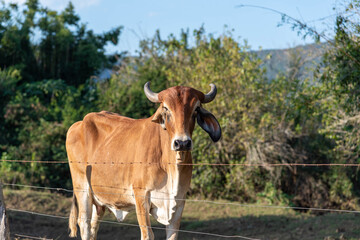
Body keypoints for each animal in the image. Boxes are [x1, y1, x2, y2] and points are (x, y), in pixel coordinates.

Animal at [66, 82, 221, 240]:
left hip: (100, 199)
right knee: (84, 224)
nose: (182, 143)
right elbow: (147, 234)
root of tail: (79, 123)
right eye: (166, 108)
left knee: (93, 226)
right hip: (82, 187)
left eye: (196, 109)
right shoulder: (141, 195)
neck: (170, 165)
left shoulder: (179, 200)